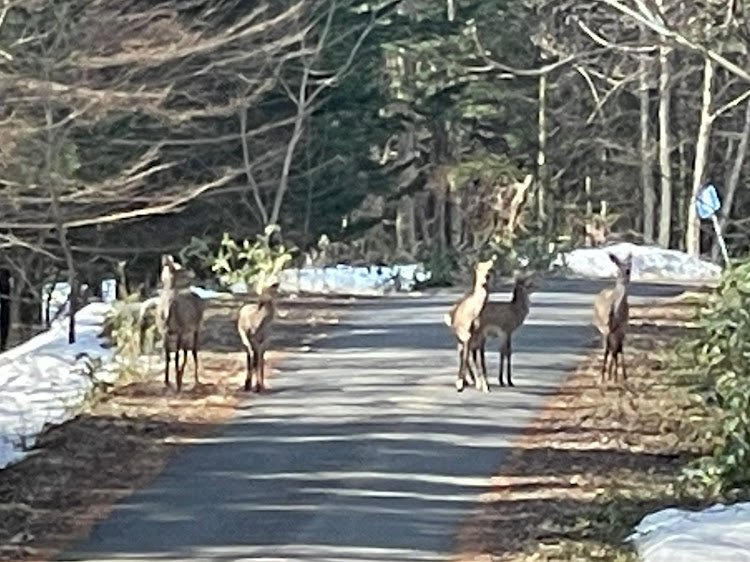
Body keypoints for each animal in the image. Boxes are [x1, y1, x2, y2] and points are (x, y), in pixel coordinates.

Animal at [444, 258, 496, 392]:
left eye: (490, 269)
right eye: (478, 268)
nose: (486, 278)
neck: (474, 315)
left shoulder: (482, 337)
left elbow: (481, 360)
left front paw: (486, 386)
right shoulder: (465, 334)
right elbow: (465, 357)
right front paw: (460, 383)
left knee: (471, 356)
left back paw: (474, 381)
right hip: (460, 338)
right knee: (462, 354)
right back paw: (467, 381)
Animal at [592, 252, 636, 382]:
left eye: (629, 269)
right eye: (618, 267)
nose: (626, 273)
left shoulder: (622, 328)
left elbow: (619, 349)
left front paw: (620, 376)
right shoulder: (607, 328)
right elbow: (608, 350)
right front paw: (604, 376)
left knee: (615, 349)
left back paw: (612, 373)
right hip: (602, 329)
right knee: (608, 348)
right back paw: (607, 373)